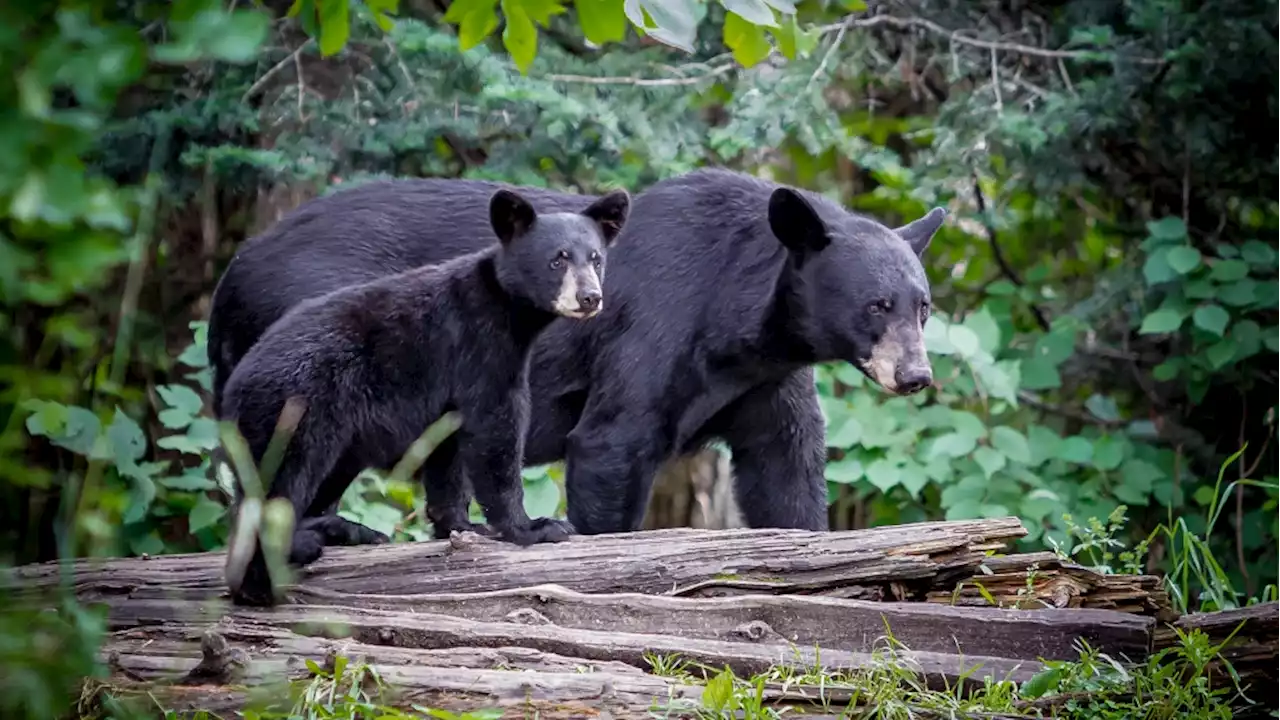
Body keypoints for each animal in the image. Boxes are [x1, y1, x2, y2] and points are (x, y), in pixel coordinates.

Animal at [204, 167, 947, 538]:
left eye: (922, 305)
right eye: (875, 305)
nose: (916, 375)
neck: (739, 322)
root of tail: (229, 277)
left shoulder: (765, 378)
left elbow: (786, 468)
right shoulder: (656, 327)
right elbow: (611, 444)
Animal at [220, 188, 629, 602]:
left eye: (596, 258)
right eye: (558, 259)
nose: (590, 297)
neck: (509, 311)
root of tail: (233, 384)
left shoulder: (450, 387)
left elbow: (447, 450)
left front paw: (463, 526)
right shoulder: (479, 346)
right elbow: (495, 429)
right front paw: (534, 527)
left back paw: (340, 532)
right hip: (291, 407)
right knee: (276, 486)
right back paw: (265, 580)